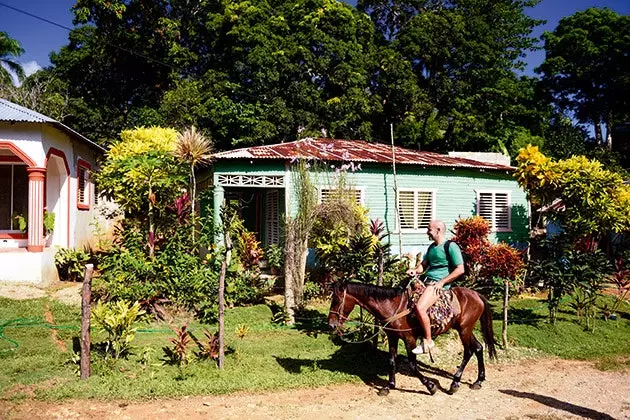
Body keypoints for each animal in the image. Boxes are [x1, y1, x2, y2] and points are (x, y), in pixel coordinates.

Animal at [330, 280, 498, 396]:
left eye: (337, 300)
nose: (331, 324)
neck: (393, 307)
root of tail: (476, 294)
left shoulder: (409, 339)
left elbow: (412, 365)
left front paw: (431, 386)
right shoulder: (393, 337)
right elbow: (392, 361)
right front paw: (389, 386)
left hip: (464, 330)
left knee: (468, 352)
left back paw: (455, 383)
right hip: (466, 329)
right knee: (478, 348)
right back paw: (478, 381)